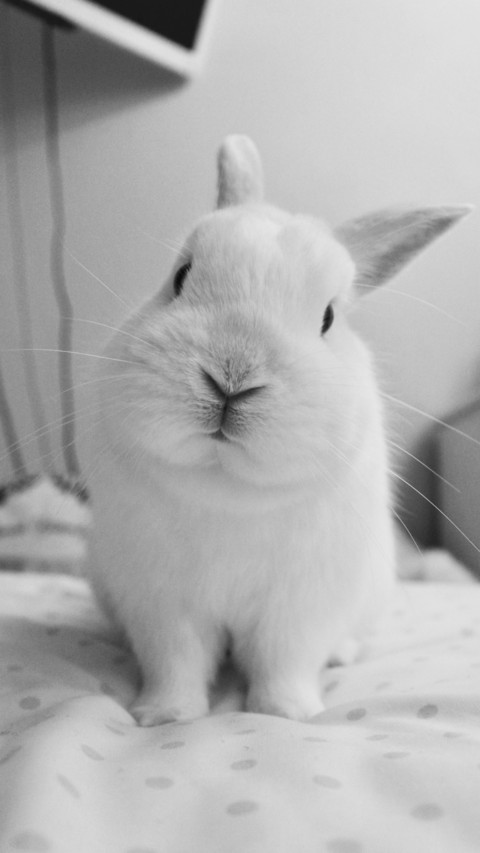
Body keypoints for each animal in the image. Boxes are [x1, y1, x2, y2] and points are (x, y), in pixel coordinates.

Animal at [86, 135, 471, 725]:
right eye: (179, 278)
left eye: (329, 318)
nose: (231, 377)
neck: (226, 488)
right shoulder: (162, 604)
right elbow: (175, 663)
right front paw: (164, 716)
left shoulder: (299, 608)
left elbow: (282, 661)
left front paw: (285, 714)